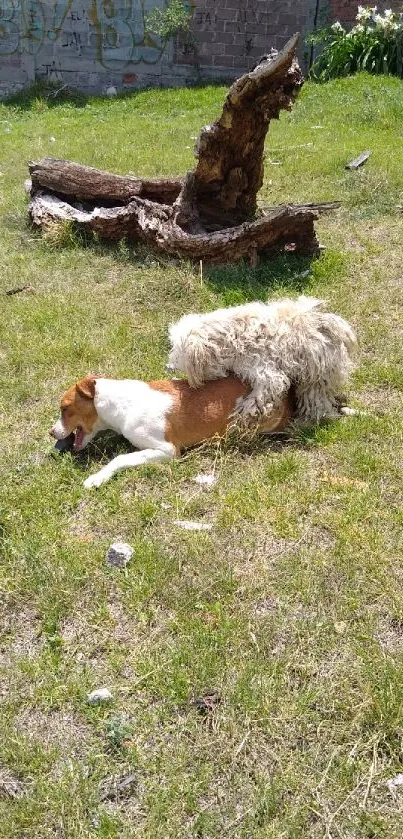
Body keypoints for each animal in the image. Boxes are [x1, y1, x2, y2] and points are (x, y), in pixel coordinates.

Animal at [49, 378, 294, 488]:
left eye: (65, 408)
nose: (51, 432)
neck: (122, 405)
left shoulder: (167, 450)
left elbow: (120, 459)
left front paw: (97, 477)